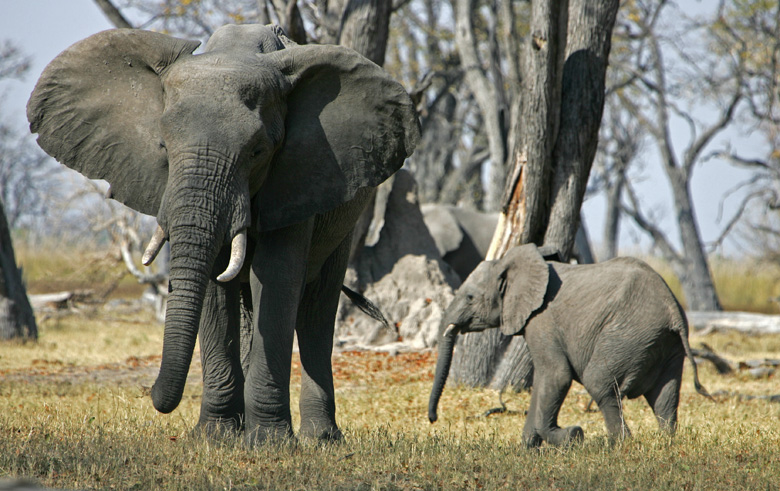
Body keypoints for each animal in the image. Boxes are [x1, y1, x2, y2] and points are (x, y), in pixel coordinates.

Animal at [27, 24, 420, 446]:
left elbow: (276, 278)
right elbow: (215, 288)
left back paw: (321, 439)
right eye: (163, 147)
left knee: (317, 307)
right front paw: (215, 438)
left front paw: (270, 444)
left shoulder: (298, 174)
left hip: (345, 214)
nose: (153, 396)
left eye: (257, 151)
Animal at [430, 244, 708, 448]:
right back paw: (665, 442)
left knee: (600, 384)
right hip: (665, 344)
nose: (433, 419)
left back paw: (619, 445)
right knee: (665, 396)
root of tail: (673, 308)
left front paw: (573, 436)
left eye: (470, 297)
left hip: (629, 335)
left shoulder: (541, 320)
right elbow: (542, 381)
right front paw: (528, 449)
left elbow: (556, 375)